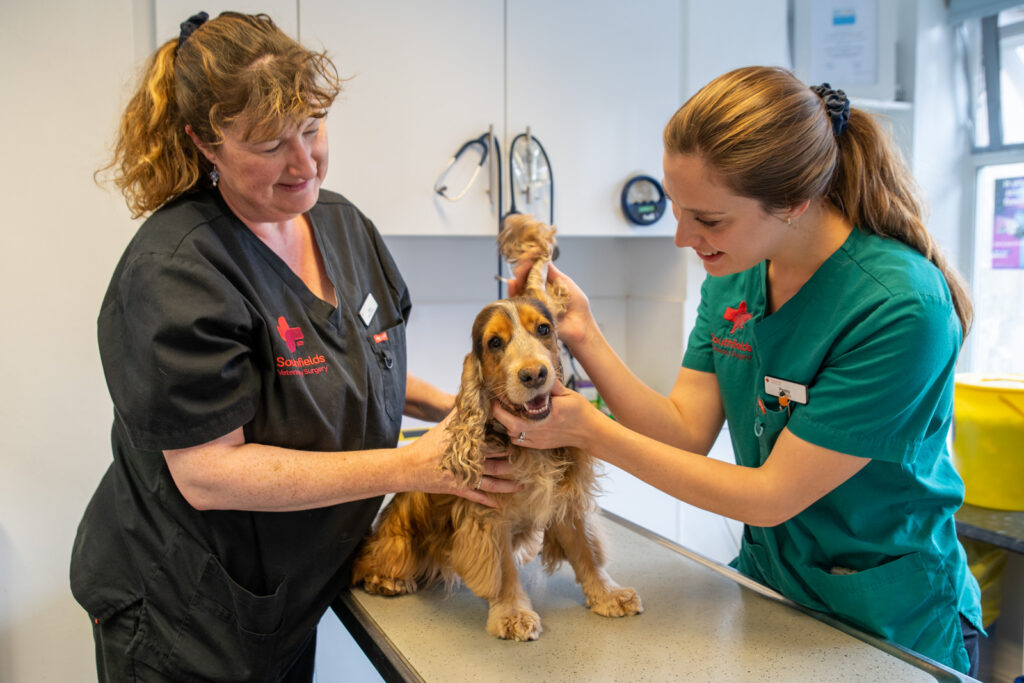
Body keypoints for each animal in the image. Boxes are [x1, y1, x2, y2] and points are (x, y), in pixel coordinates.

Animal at [352, 215, 638, 643]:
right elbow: (502, 571)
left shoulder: (566, 499)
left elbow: (585, 550)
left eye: (543, 330)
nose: (534, 374)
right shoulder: (487, 518)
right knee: (379, 556)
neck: (529, 446)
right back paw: (386, 579)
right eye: (495, 343)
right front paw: (512, 614)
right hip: (399, 532)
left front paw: (607, 594)